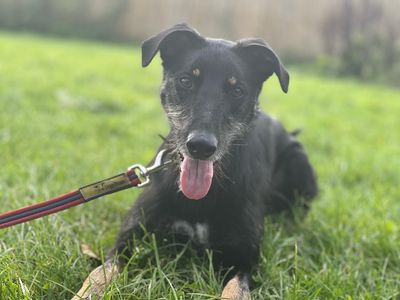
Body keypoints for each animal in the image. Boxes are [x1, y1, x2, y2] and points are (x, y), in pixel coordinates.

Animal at [72, 24, 316, 300]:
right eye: (186, 81)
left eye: (237, 90)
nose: (201, 147)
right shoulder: (127, 240)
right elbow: (99, 274)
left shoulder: (244, 260)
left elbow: (234, 291)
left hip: (299, 161)